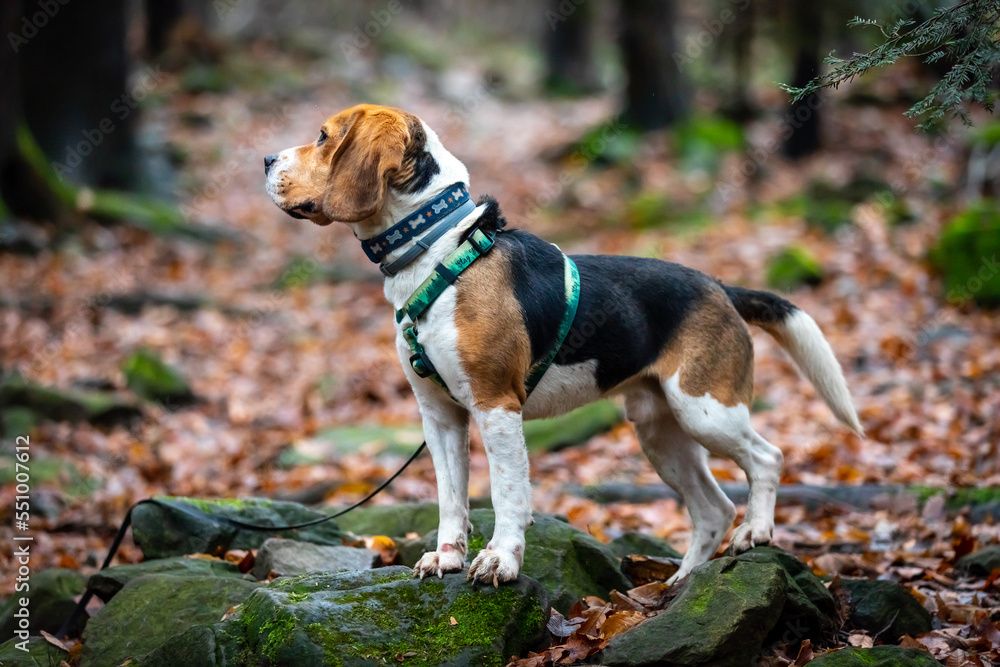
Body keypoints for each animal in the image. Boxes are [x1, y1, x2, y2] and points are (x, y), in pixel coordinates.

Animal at [264, 102, 860, 588]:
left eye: (322, 136)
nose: (266, 159)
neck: (437, 248)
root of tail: (719, 286)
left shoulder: (496, 406)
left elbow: (507, 494)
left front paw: (500, 561)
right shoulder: (440, 416)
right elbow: (451, 499)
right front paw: (448, 558)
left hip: (706, 410)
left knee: (767, 458)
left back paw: (756, 532)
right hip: (659, 431)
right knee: (712, 509)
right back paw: (679, 587)